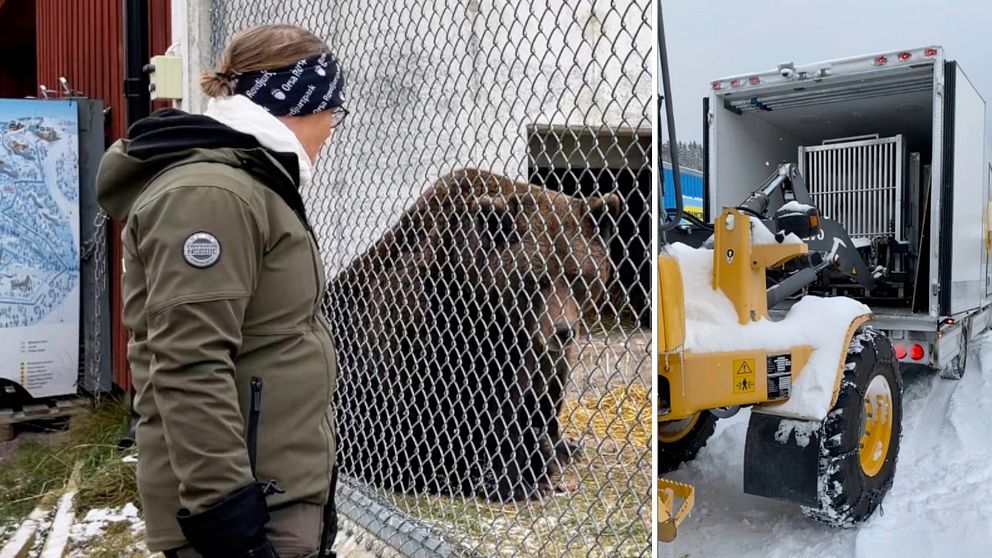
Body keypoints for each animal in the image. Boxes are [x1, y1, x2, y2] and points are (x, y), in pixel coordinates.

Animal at [330, 167, 616, 504]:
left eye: (578, 277)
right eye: (536, 279)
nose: (563, 330)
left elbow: (540, 391)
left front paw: (552, 450)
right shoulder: (442, 327)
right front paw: (518, 479)